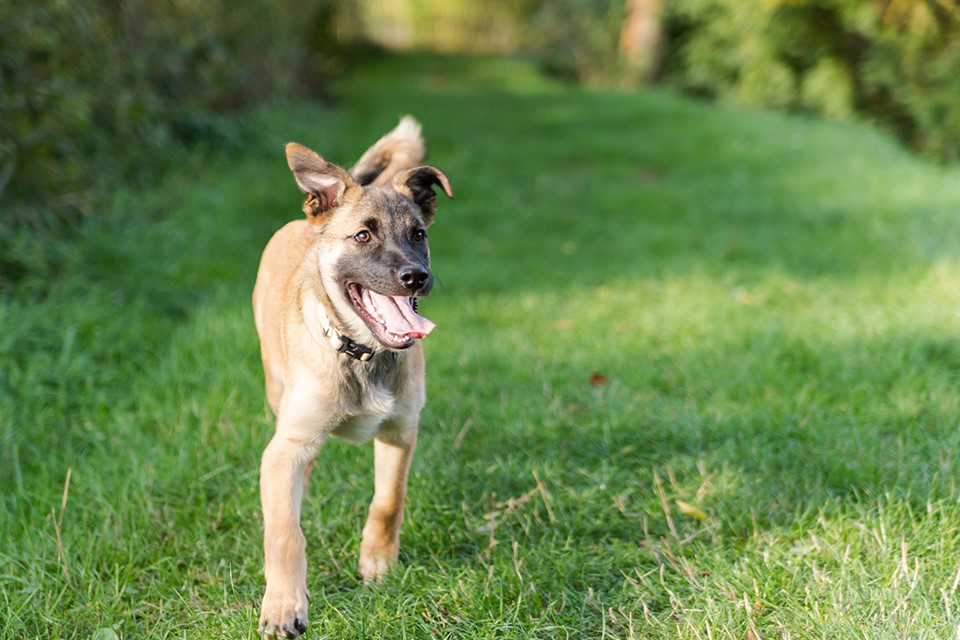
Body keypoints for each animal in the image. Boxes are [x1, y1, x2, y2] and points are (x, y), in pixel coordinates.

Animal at [251, 117, 454, 636]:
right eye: (363, 236)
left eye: (418, 234)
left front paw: (377, 564)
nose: (416, 276)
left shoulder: (401, 432)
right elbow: (285, 531)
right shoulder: (287, 444)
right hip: (277, 392)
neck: (363, 355)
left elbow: (388, 501)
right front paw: (283, 605)